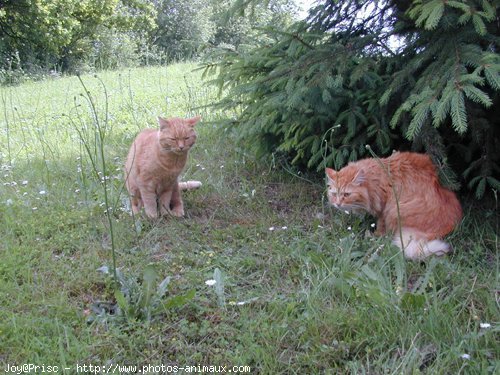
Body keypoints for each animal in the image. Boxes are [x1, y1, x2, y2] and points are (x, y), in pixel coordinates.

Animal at [326, 151, 462, 260]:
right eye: (334, 194)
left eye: (346, 194)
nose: (337, 204)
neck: (376, 179)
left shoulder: (384, 208)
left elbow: (381, 226)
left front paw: (375, 235)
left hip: (395, 211)